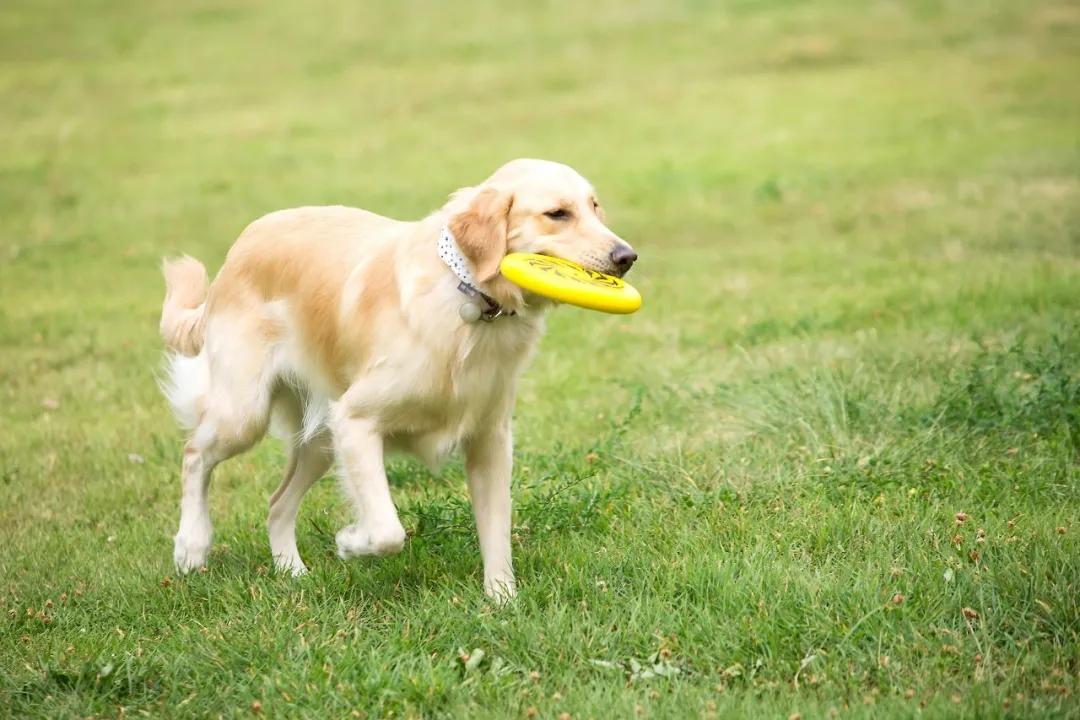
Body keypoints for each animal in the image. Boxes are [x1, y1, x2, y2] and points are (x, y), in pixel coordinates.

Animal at [156, 160, 635, 600]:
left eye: (594, 207)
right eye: (557, 213)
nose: (627, 257)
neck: (469, 300)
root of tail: (243, 243)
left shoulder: (490, 440)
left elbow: (497, 531)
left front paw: (502, 602)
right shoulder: (356, 421)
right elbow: (388, 531)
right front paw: (351, 542)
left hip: (321, 439)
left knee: (276, 505)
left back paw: (292, 571)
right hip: (247, 414)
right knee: (195, 454)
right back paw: (191, 546)